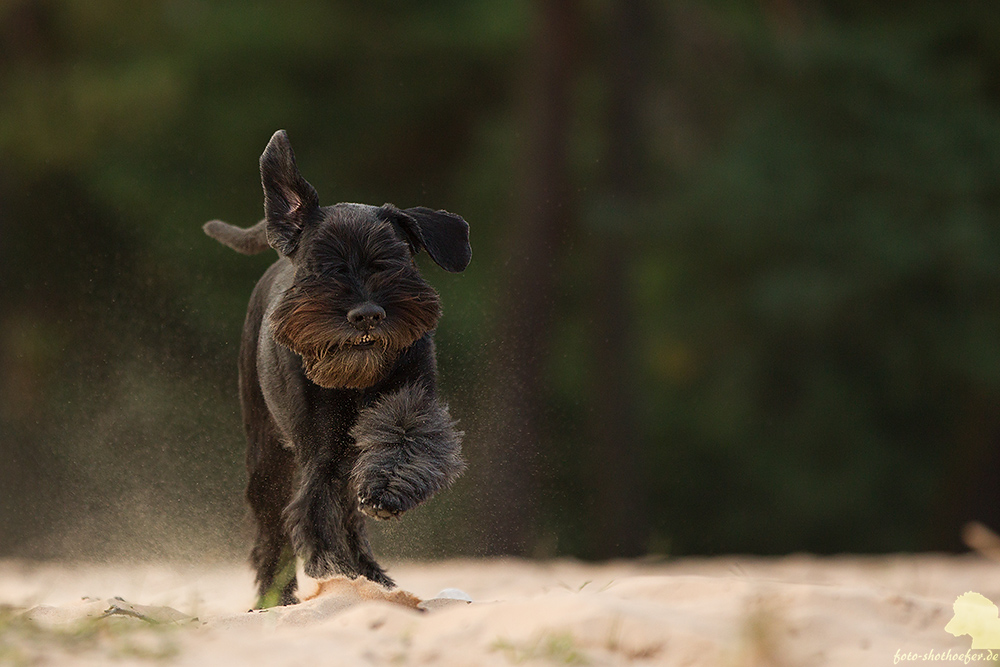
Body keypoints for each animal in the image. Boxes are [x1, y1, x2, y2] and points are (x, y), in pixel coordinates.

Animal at [203, 129, 472, 604]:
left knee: (350, 513)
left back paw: (371, 575)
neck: (355, 379)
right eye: (324, 266)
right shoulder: (320, 449)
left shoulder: (410, 403)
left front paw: (388, 491)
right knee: (274, 525)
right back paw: (279, 597)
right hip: (266, 450)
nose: (366, 314)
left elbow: (406, 439)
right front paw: (334, 567)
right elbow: (314, 508)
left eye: (390, 262)